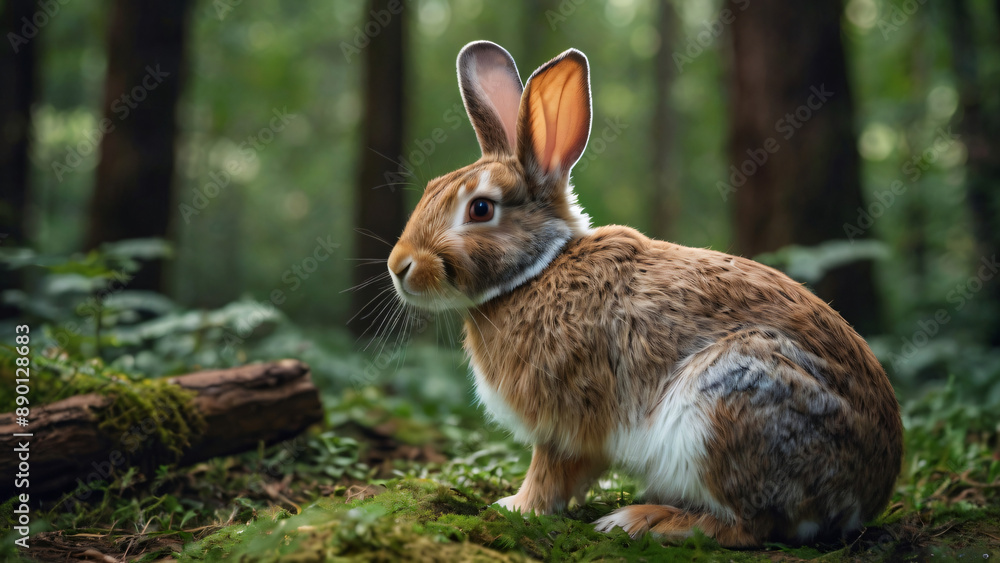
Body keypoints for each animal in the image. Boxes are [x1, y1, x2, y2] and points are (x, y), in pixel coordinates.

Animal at [385, 40, 903, 547]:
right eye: (432, 188)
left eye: (480, 209)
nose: (399, 266)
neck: (537, 270)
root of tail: (868, 493)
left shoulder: (566, 422)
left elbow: (550, 471)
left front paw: (516, 507)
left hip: (729, 403)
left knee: (750, 527)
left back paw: (642, 521)